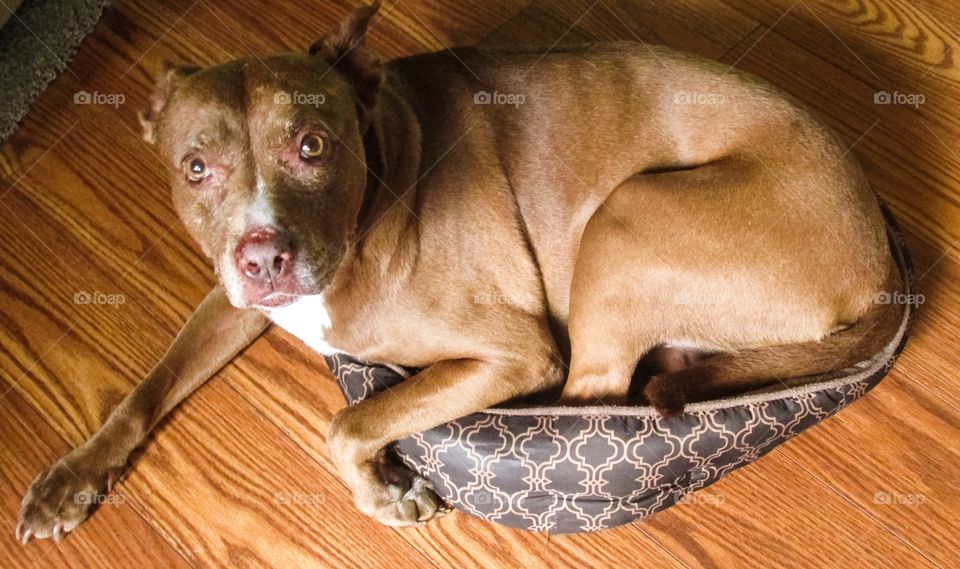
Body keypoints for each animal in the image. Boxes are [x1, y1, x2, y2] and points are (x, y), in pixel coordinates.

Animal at [16, 0, 900, 540]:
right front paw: (72, 474)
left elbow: (348, 422)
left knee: (591, 391)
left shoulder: (512, 349)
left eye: (312, 145)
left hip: (627, 220)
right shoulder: (234, 299)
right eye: (195, 167)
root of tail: (880, 263)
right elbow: (149, 381)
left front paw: (383, 490)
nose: (264, 255)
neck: (376, 173)